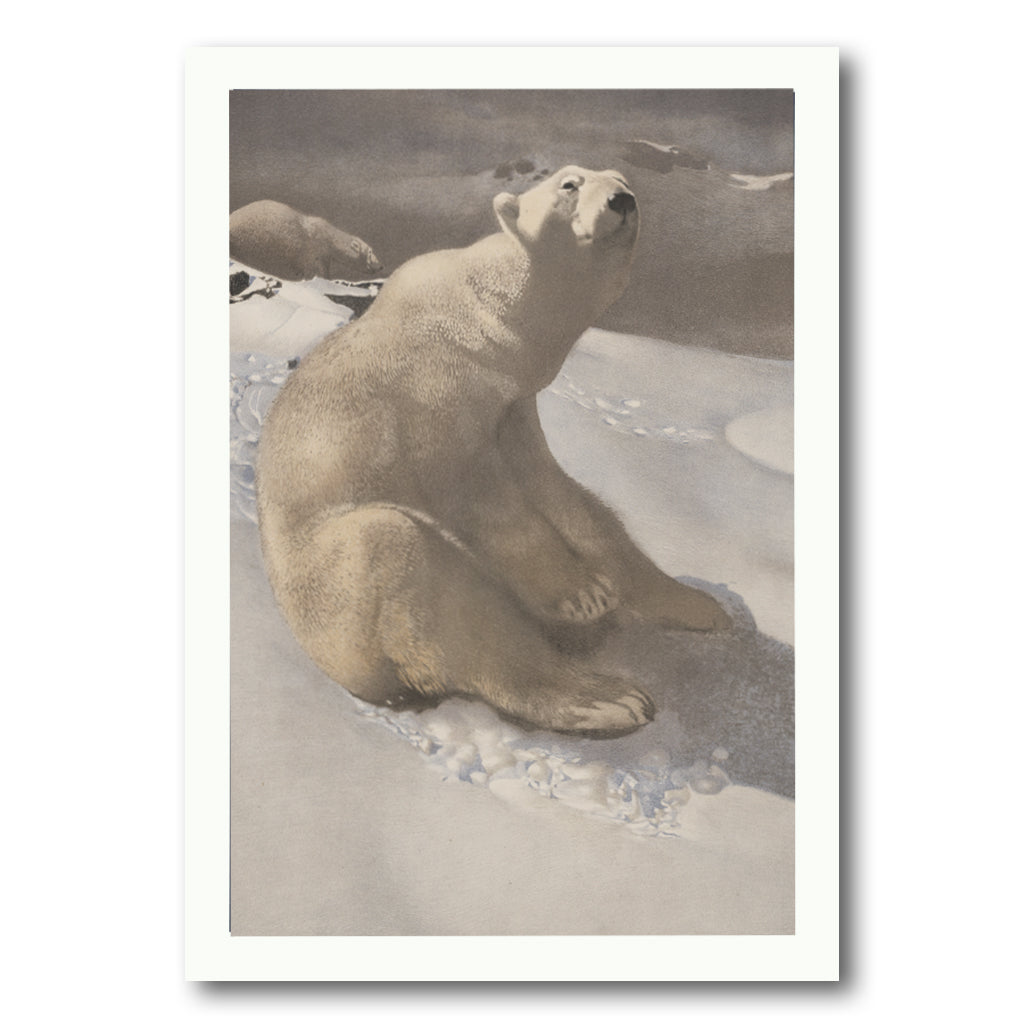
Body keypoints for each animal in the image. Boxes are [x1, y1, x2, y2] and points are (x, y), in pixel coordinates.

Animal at [229, 199, 384, 281]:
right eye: (370, 252)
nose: (381, 266)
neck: (326, 237)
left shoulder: (323, 254)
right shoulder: (312, 250)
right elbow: (315, 270)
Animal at [256, 166, 730, 737]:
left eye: (618, 177)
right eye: (569, 184)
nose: (623, 199)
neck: (489, 320)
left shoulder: (511, 403)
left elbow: (560, 492)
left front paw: (656, 595)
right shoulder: (436, 389)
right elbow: (474, 491)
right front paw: (581, 593)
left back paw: (701, 609)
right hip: (331, 605)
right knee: (415, 569)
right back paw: (607, 698)